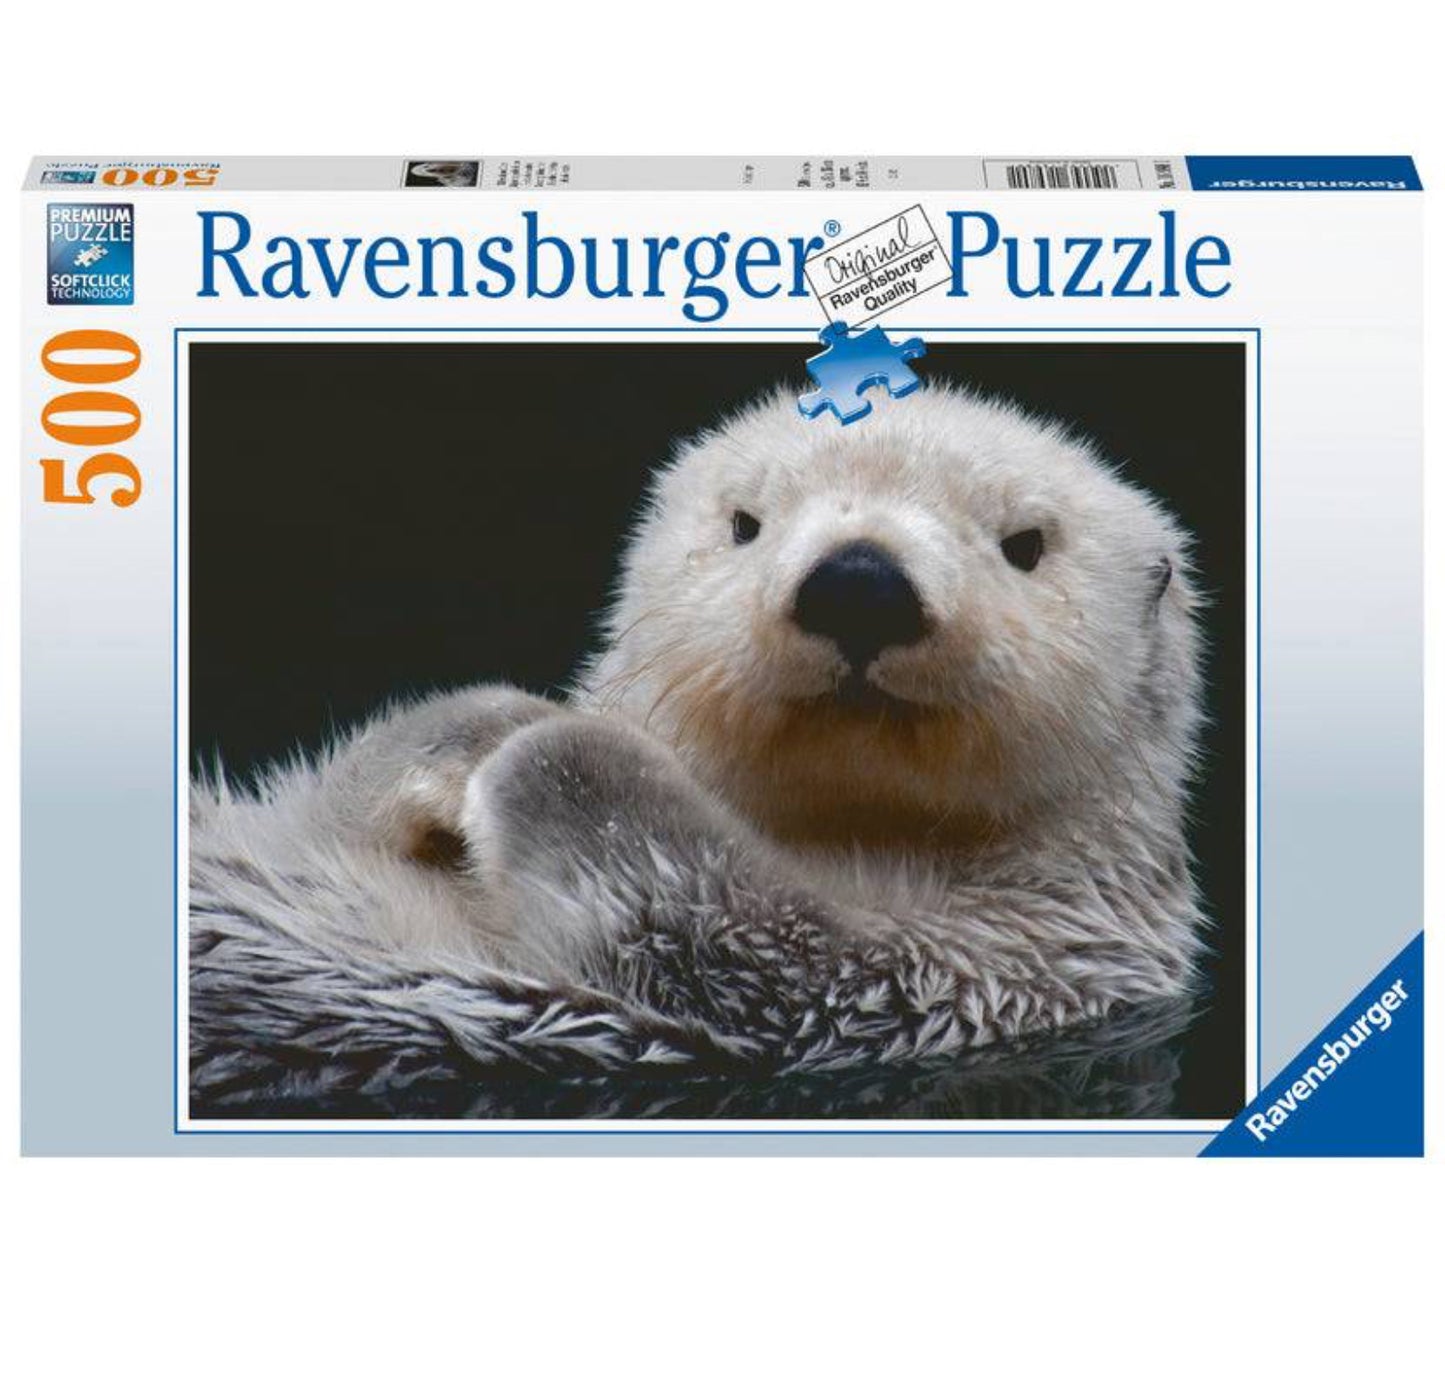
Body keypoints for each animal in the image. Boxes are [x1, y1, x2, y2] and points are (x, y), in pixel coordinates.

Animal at [191, 382, 1206, 1092]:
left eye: (1025, 544)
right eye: (744, 524)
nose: (859, 583)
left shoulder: (979, 971)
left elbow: (722, 926)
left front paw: (546, 746)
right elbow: (331, 801)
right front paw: (479, 730)